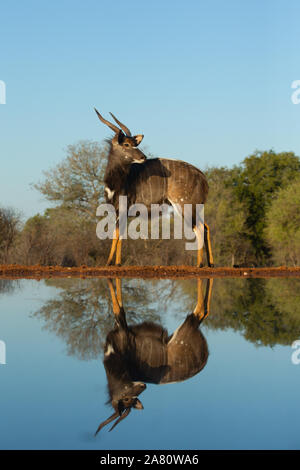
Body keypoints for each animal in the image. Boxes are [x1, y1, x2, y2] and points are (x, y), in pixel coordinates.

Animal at [94, 108, 213, 266]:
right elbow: (119, 234)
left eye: (135, 143)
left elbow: (117, 233)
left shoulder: (123, 208)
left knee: (198, 228)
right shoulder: (118, 211)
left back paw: (199, 264)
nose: (143, 156)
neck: (118, 180)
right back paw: (211, 264)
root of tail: (203, 178)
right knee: (205, 227)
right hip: (195, 207)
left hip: (185, 205)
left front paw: (110, 263)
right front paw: (115, 263)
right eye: (126, 144)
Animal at [95, 278, 212, 436]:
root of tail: (204, 358)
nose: (143, 385)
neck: (114, 357)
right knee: (204, 311)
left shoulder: (122, 328)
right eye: (127, 399)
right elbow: (118, 303)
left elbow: (117, 306)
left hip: (188, 324)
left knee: (200, 310)